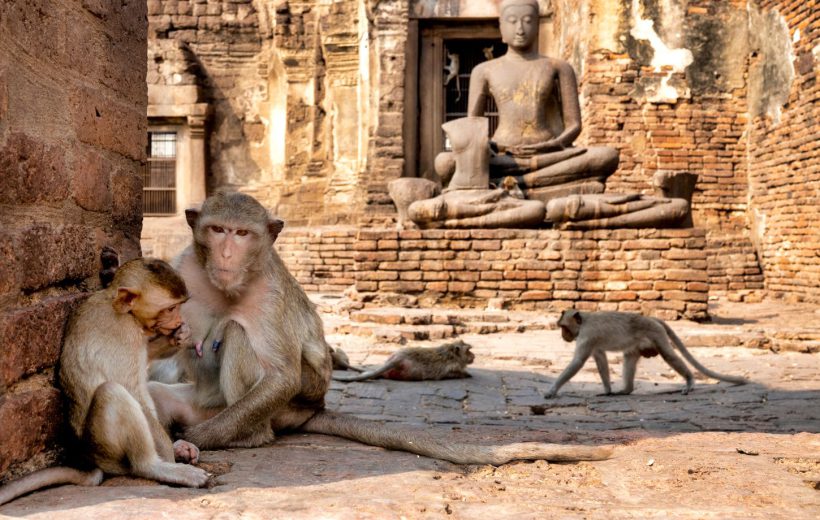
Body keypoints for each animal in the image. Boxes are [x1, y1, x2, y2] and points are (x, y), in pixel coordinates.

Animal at [0, 258, 209, 506]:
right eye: (170, 308)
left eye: (178, 307)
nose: (178, 320)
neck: (118, 306)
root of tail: (94, 459)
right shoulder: (125, 333)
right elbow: (133, 390)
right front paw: (170, 457)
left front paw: (179, 336)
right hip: (106, 447)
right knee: (113, 392)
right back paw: (155, 466)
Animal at [332, 340, 475, 382]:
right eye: (468, 351)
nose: (473, 356)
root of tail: (398, 358)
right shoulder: (452, 366)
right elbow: (453, 373)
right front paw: (466, 374)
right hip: (411, 372)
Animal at [545, 310, 749, 398]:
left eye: (564, 327)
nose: (563, 336)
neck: (584, 320)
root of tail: (651, 318)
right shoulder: (592, 342)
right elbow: (600, 358)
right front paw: (607, 390)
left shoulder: (587, 336)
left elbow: (578, 362)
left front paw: (552, 390)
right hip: (640, 343)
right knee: (629, 358)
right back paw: (626, 390)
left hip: (656, 334)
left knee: (668, 355)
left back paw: (690, 381)